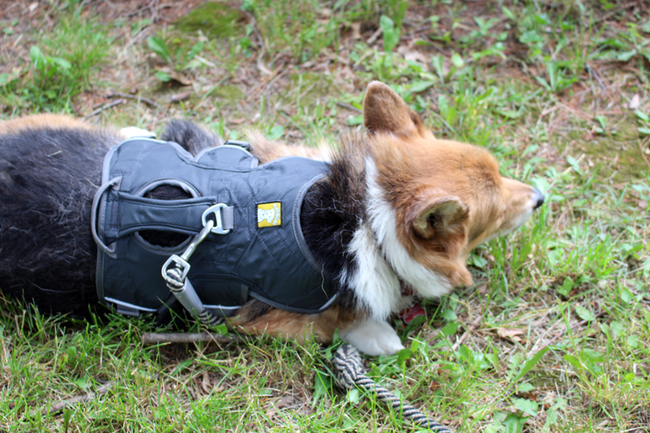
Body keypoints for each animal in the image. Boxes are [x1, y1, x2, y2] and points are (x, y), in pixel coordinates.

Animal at [0, 81, 540, 354]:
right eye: (493, 213)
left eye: (499, 170)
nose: (538, 197)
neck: (358, 216)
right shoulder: (280, 322)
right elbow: (356, 328)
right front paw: (382, 336)